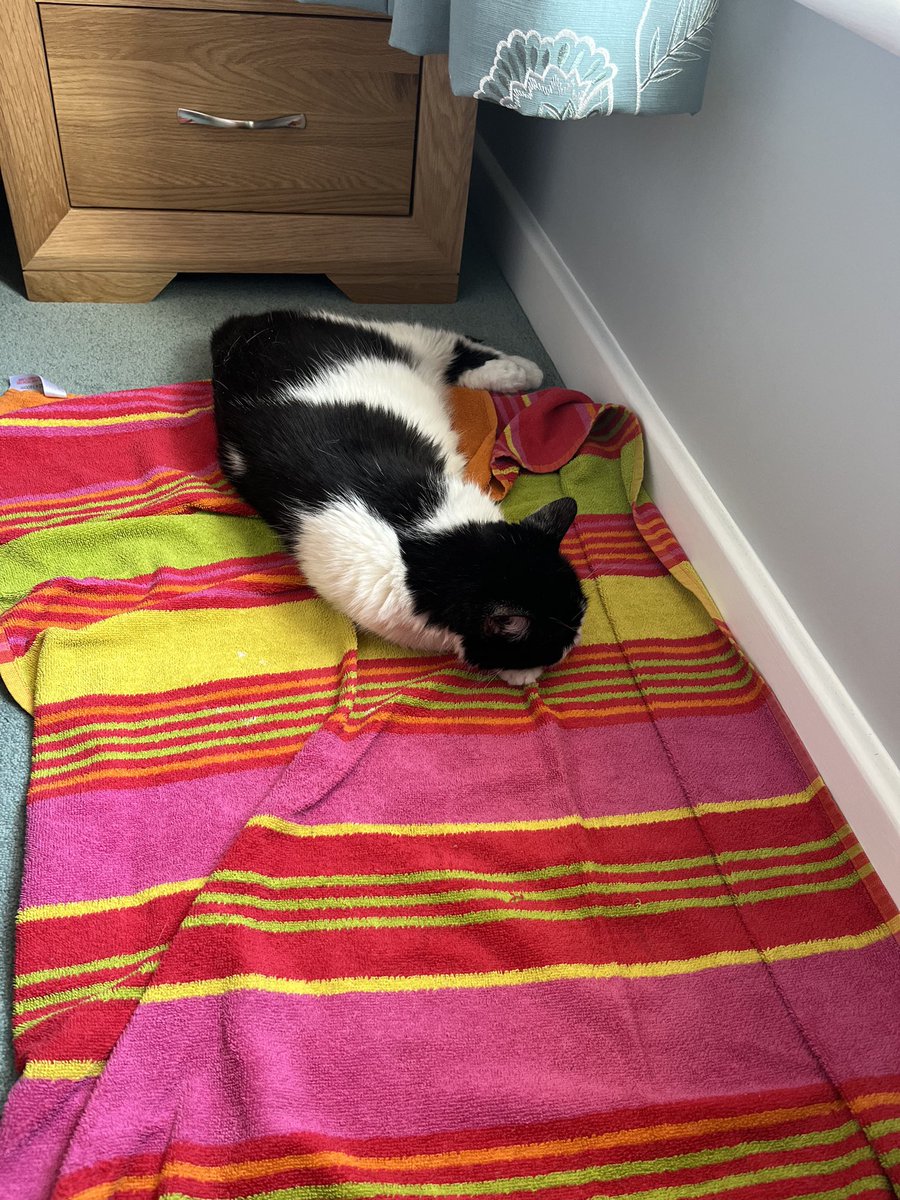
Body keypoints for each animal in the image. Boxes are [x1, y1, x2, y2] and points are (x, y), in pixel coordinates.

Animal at [213, 309, 588, 686]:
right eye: (556, 641)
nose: (575, 643)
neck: (422, 542)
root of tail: (244, 326)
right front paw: (522, 675)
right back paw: (518, 372)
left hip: (402, 340)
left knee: (455, 343)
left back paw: (522, 370)